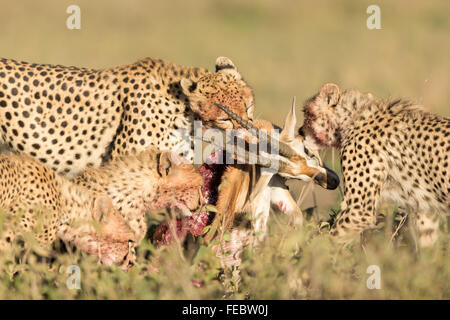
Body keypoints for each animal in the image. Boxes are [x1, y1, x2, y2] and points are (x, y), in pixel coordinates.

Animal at [300, 84, 448, 246]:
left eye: (306, 112)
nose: (300, 131)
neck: (353, 117)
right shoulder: (424, 206)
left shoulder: (359, 211)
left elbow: (333, 236)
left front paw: (311, 250)